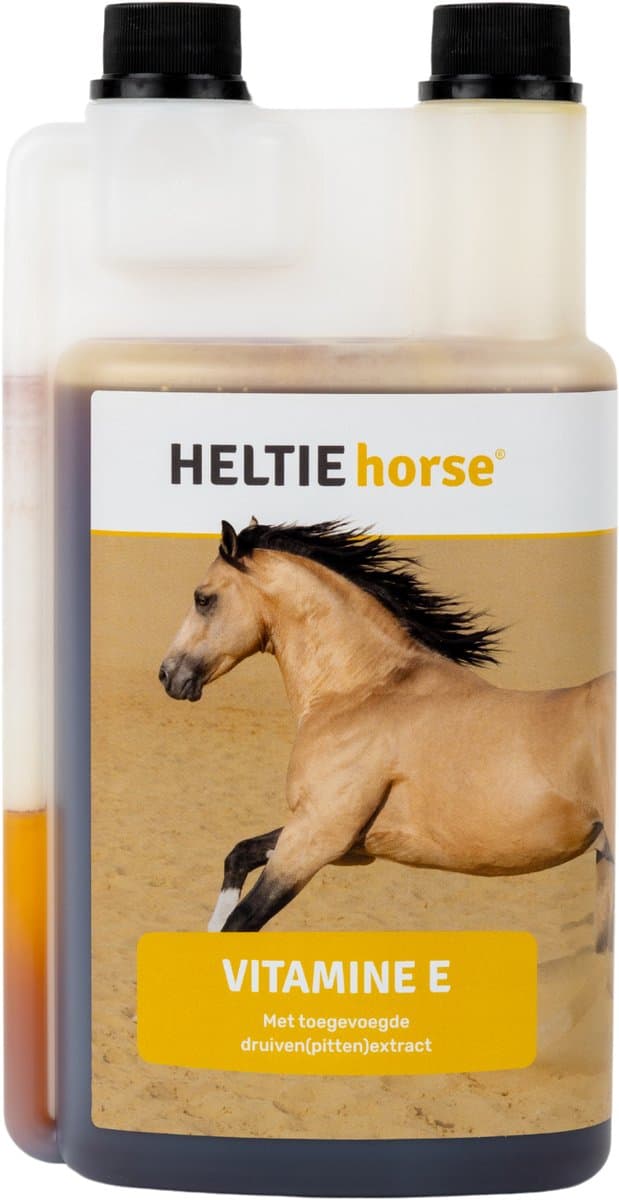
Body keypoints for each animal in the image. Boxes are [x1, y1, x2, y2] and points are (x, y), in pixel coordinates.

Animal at [159, 519, 615, 949]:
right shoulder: (339, 841)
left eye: (203, 598)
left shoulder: (316, 835)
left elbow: (241, 921)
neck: (361, 690)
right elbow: (238, 855)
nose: (167, 675)